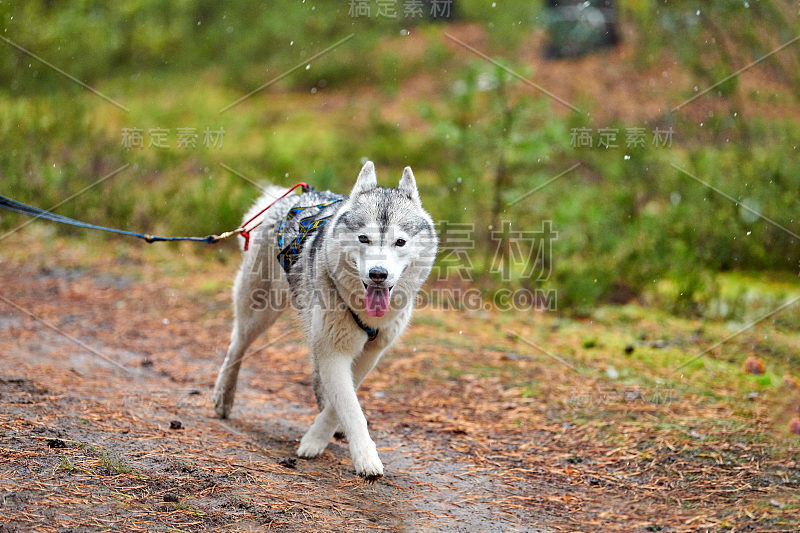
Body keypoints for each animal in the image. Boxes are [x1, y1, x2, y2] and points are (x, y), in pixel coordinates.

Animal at [212, 160, 438, 476]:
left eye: (400, 242)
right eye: (364, 238)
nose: (378, 274)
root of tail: (287, 196)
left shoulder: (369, 353)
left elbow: (342, 401)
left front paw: (321, 435)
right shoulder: (334, 351)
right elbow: (350, 408)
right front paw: (363, 458)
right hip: (259, 313)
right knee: (236, 347)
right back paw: (224, 396)